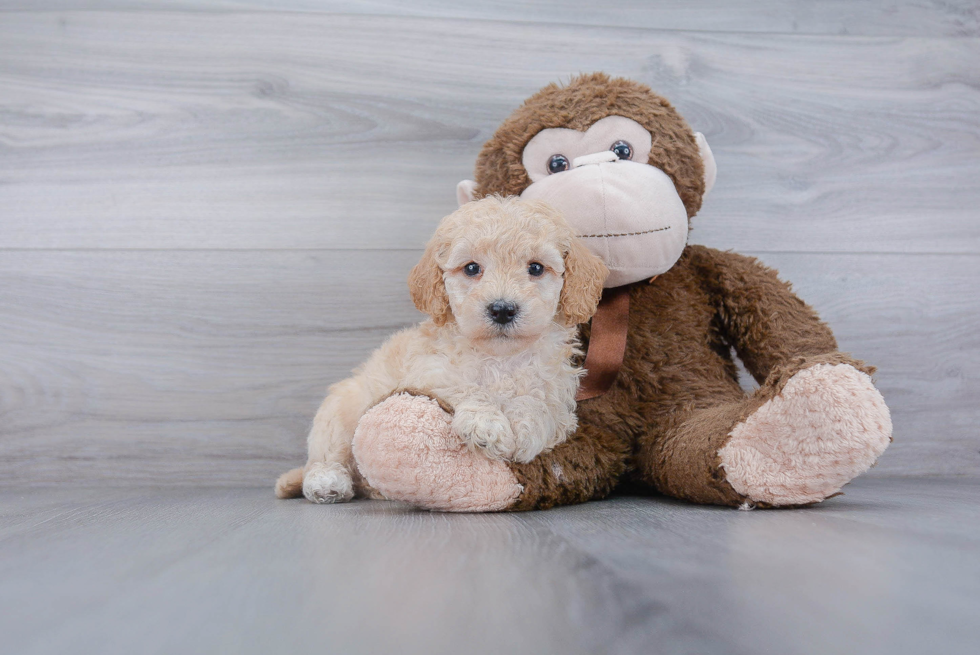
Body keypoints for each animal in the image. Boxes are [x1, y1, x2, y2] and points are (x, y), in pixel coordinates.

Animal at [276, 195, 608, 502]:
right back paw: (327, 482)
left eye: (536, 268)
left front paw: (527, 425)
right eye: (472, 268)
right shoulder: (429, 371)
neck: (500, 358)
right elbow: (465, 386)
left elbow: (540, 400)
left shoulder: (559, 388)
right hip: (341, 411)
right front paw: (486, 423)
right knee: (327, 453)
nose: (502, 309)